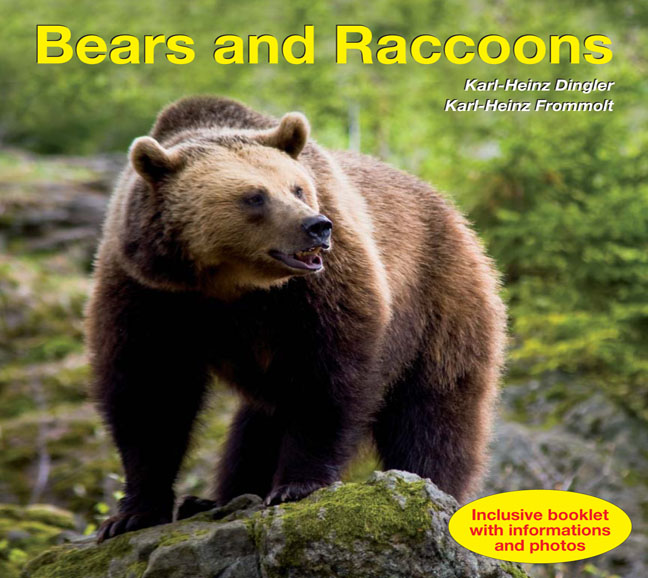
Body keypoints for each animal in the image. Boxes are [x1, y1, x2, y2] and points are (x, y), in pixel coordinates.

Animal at [86, 96, 506, 542]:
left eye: (298, 187)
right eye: (254, 196)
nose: (317, 226)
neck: (232, 284)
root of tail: (454, 213)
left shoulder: (317, 290)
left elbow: (329, 378)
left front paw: (297, 485)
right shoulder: (151, 292)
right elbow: (149, 391)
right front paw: (132, 514)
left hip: (440, 302)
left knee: (433, 411)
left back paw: (432, 483)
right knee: (257, 426)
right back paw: (216, 498)